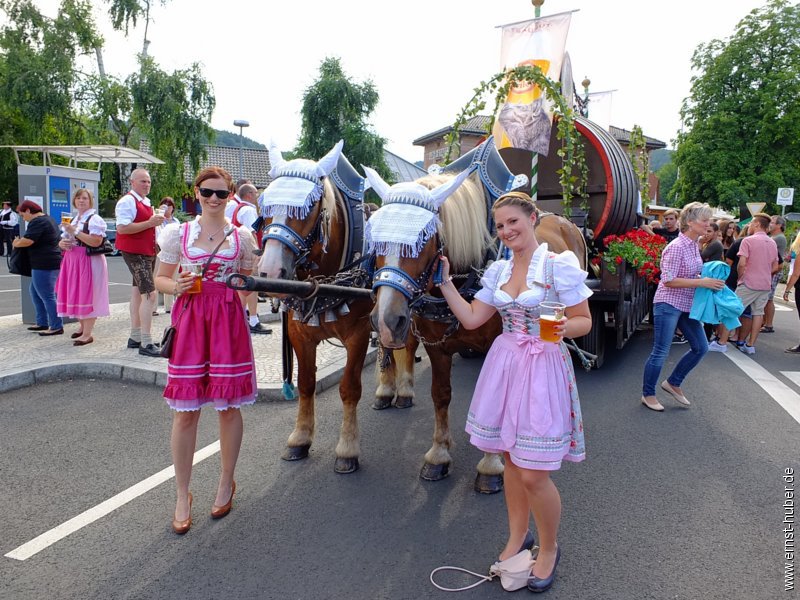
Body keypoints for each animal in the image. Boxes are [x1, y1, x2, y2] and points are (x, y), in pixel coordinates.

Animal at [260, 141, 416, 474]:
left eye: (306, 208)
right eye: (264, 205)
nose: (269, 272)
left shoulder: (359, 334)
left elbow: (349, 388)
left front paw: (347, 449)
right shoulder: (299, 335)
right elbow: (306, 384)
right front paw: (300, 438)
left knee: (406, 345)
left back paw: (405, 390)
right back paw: (386, 390)